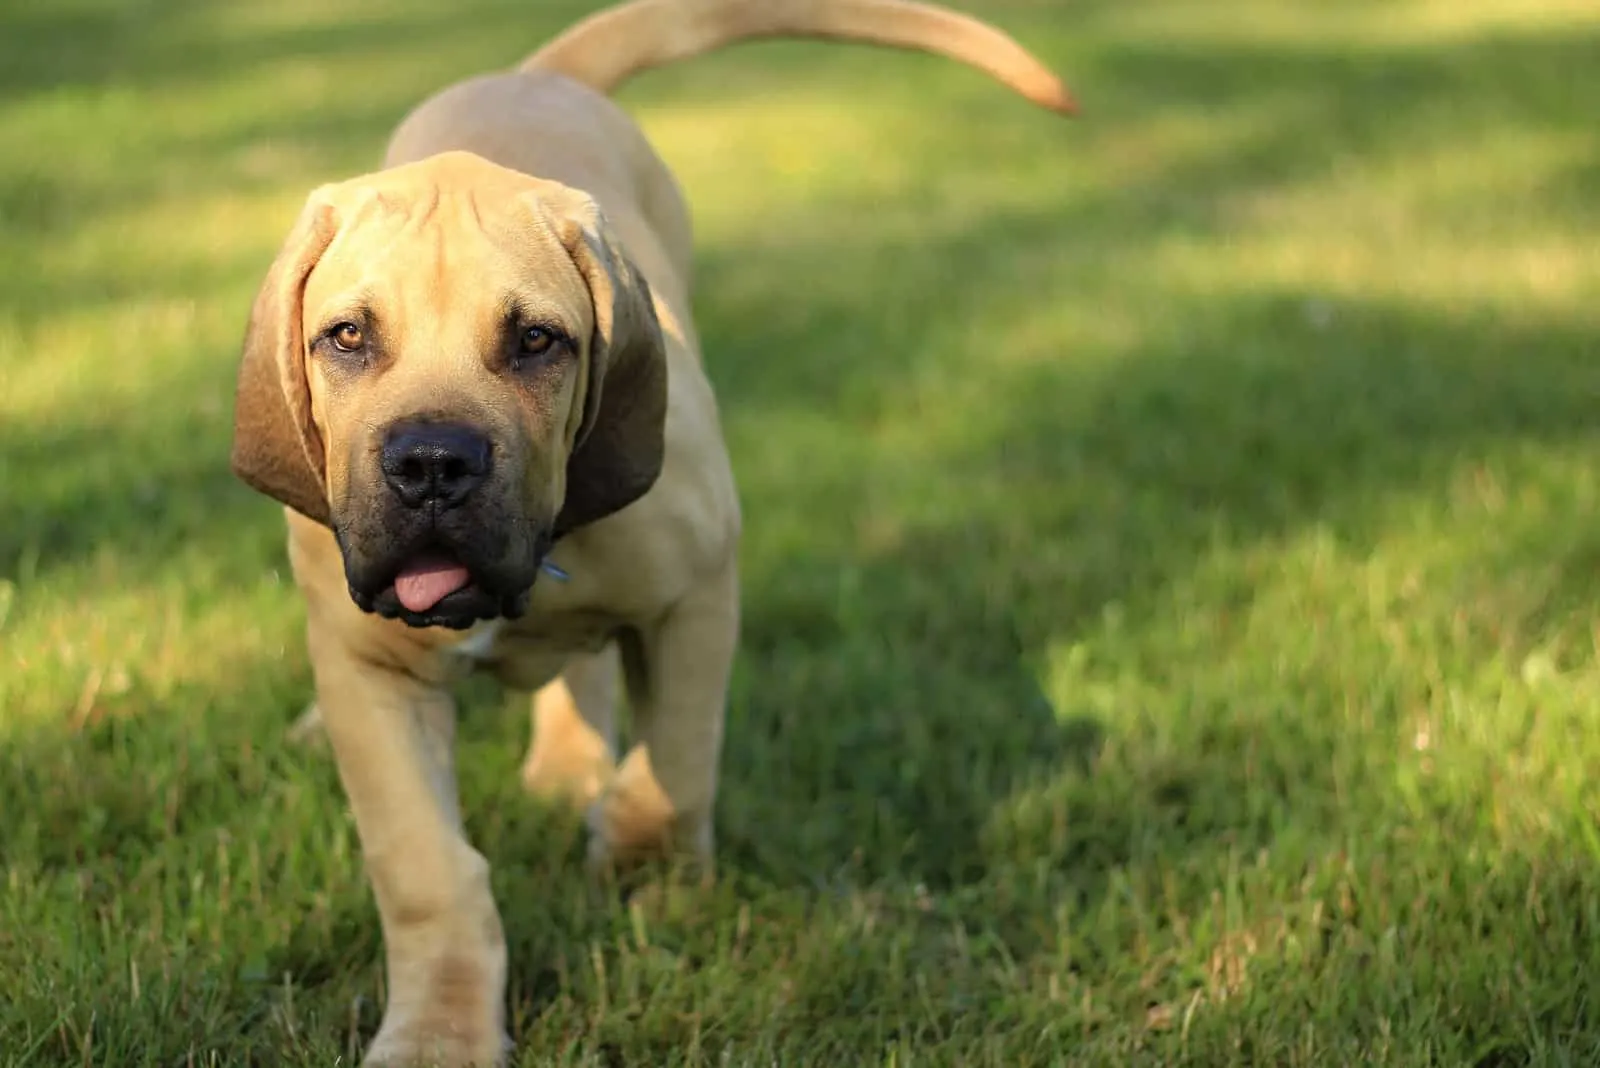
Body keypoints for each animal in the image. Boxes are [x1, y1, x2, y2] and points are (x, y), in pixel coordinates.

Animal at [228, 0, 1075, 1061]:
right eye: (348, 336)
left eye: (536, 341)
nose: (431, 465)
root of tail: (535, 75)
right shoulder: (371, 674)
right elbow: (428, 870)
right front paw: (439, 1029)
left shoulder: (697, 596)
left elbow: (676, 762)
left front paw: (651, 880)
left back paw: (571, 765)